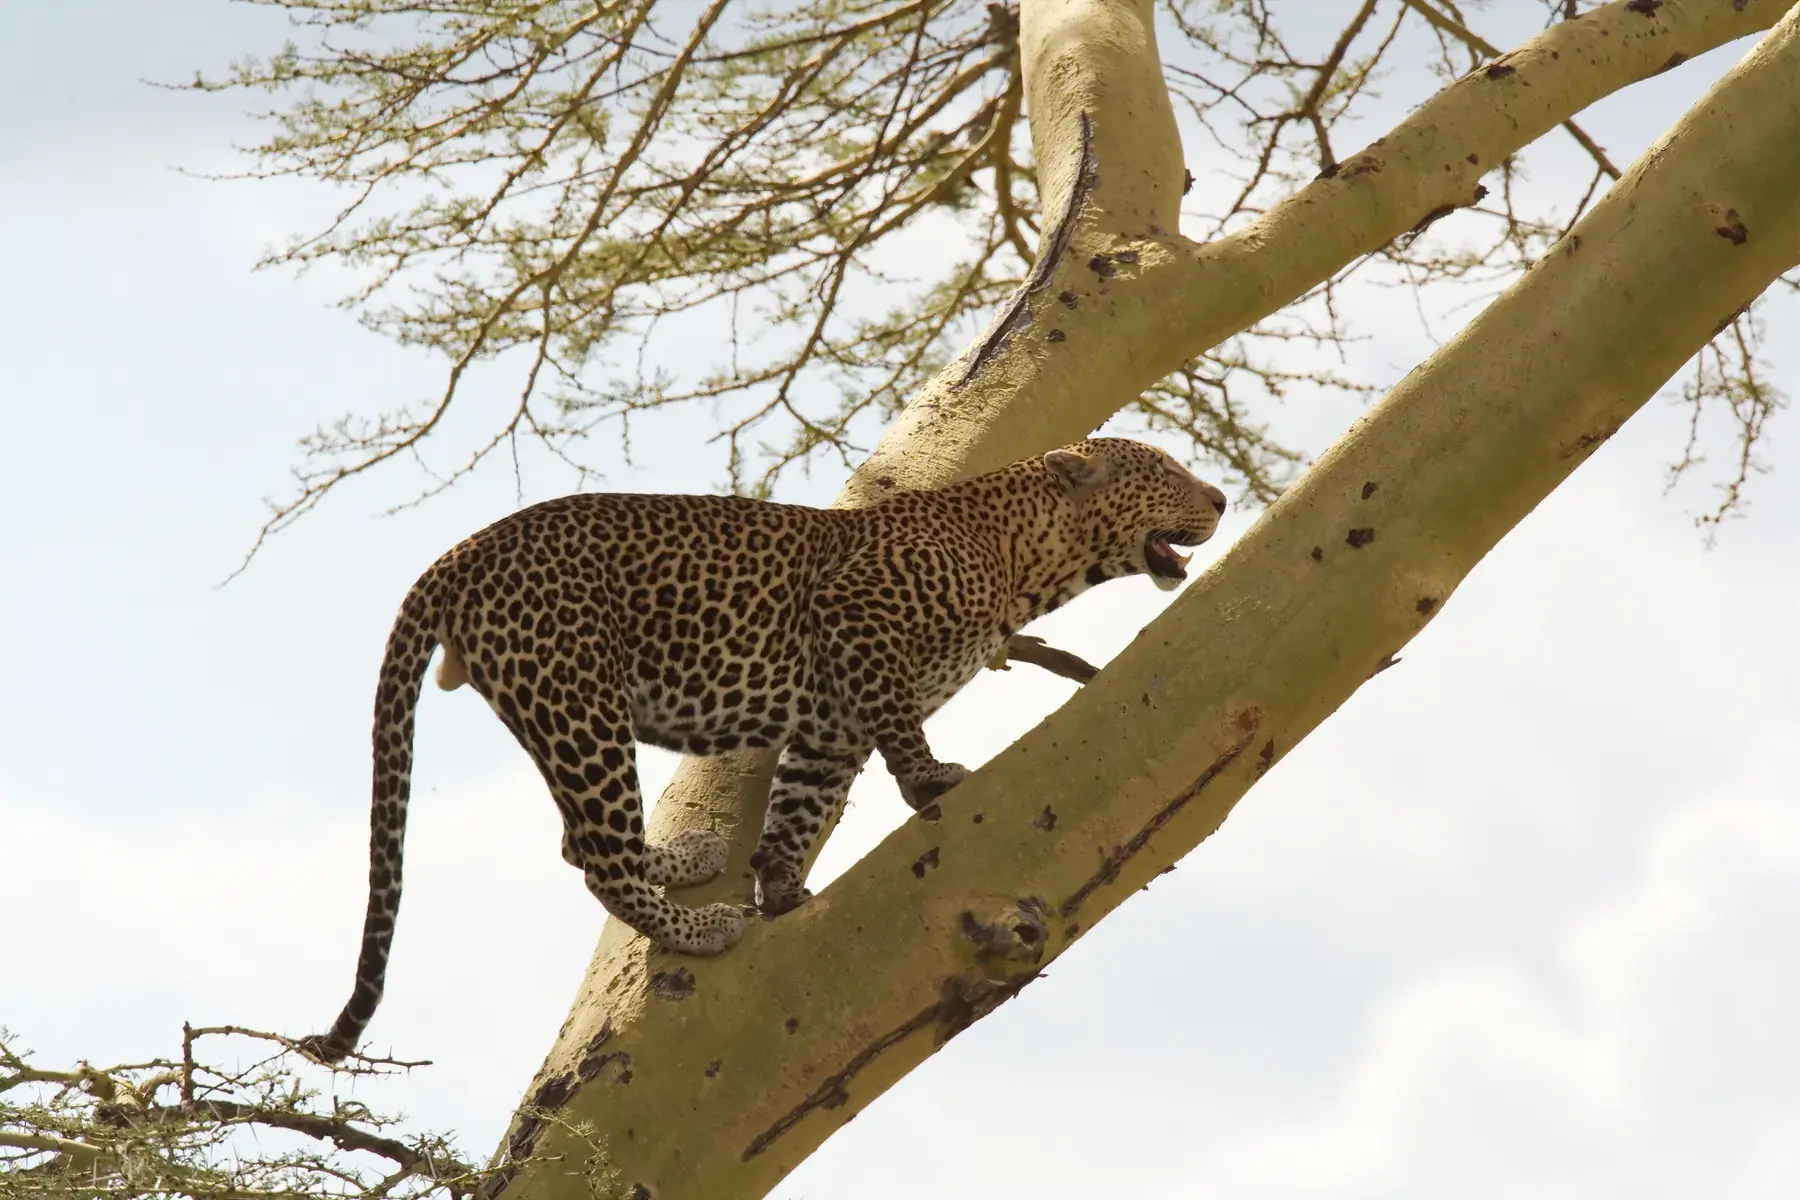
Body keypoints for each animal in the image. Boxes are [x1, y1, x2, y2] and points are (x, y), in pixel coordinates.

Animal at [299, 437, 1226, 1062]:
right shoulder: (859, 619)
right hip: (576, 696)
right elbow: (901, 730)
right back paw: (697, 925)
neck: (1025, 559)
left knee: (579, 842)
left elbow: (801, 805)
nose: (1219, 497)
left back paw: (693, 858)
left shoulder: (829, 721)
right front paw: (931, 780)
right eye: (1163, 470)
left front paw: (781, 887)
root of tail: (456, 555)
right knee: (597, 854)